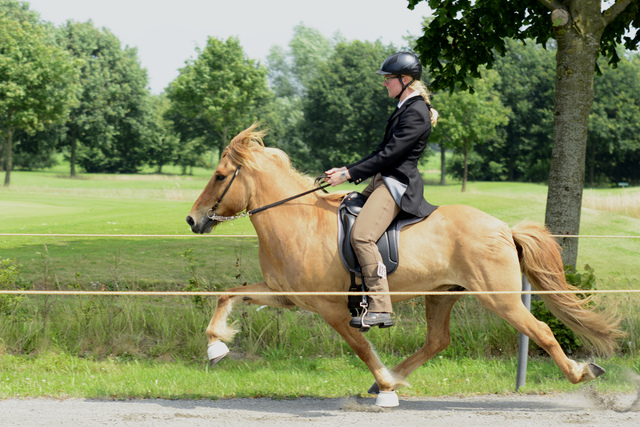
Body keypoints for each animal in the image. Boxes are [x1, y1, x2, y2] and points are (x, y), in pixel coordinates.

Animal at [185, 126, 620, 404]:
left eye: (220, 176)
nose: (192, 220)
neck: (298, 220)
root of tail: (502, 227)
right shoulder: (286, 295)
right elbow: (228, 295)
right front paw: (216, 346)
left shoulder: (332, 309)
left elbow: (360, 346)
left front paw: (385, 383)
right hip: (442, 295)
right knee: (438, 341)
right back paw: (395, 376)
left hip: (500, 298)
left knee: (541, 330)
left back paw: (581, 372)